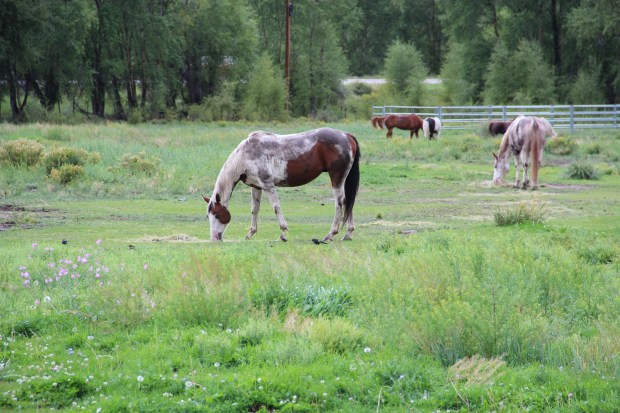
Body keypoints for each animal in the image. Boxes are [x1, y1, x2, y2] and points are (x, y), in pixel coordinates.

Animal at [203, 127, 361, 242]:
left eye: (217, 214)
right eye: (208, 216)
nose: (214, 238)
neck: (245, 156)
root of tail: (346, 135)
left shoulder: (268, 185)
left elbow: (276, 208)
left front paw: (283, 234)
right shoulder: (257, 187)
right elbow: (255, 210)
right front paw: (250, 234)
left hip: (336, 178)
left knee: (340, 203)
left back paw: (330, 234)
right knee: (349, 202)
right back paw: (348, 234)